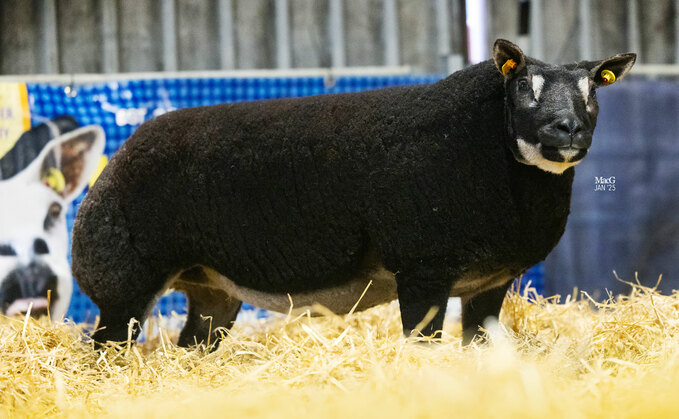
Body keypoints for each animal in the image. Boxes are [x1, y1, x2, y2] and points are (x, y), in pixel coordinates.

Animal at [73, 40, 636, 348]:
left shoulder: (488, 286)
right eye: (524, 88)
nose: (568, 129)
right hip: (123, 282)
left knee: (192, 345)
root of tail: (119, 158)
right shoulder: (423, 272)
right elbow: (422, 347)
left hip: (211, 289)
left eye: (593, 91)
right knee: (105, 350)